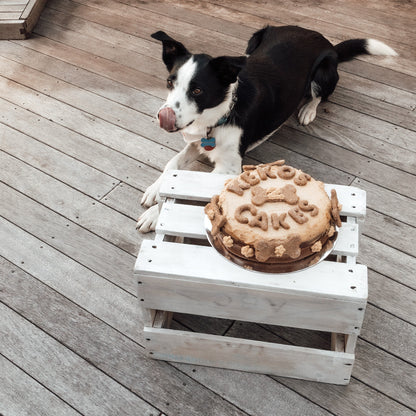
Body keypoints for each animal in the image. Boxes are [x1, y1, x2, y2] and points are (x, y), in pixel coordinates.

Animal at [137, 25, 396, 234]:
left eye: (198, 90)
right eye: (170, 82)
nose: (163, 118)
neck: (222, 113)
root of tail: (325, 41)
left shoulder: (229, 168)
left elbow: (190, 185)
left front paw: (155, 215)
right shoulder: (196, 140)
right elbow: (172, 165)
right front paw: (155, 189)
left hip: (324, 74)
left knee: (319, 95)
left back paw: (308, 110)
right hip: (254, 40)